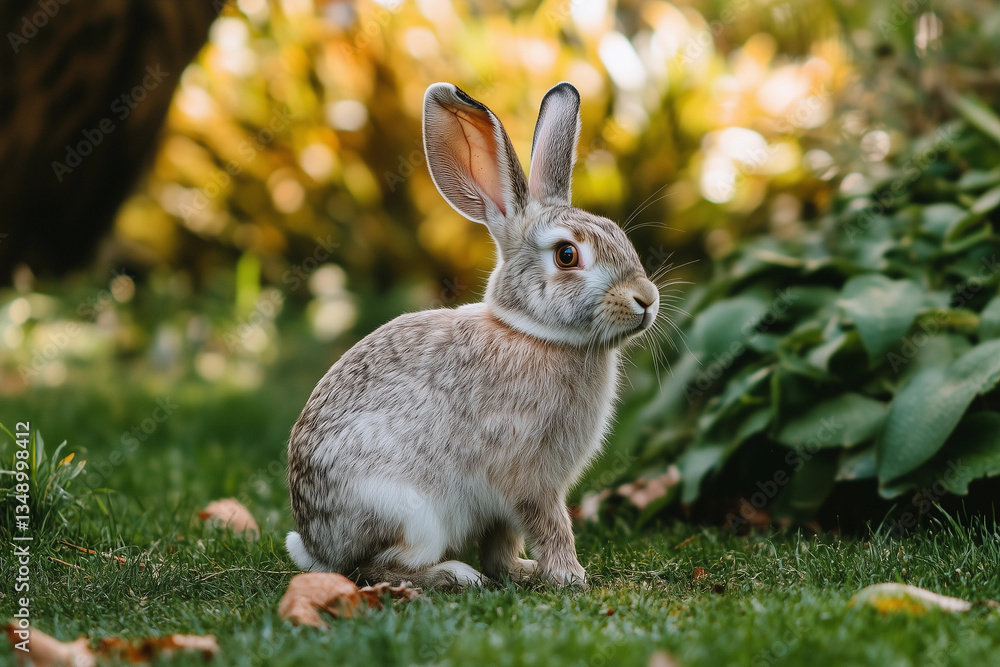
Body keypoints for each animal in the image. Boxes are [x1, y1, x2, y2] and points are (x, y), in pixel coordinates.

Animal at [286, 81, 660, 589]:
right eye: (567, 255)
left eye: (619, 235)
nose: (646, 299)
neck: (536, 334)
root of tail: (315, 545)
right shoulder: (528, 477)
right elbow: (549, 523)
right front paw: (570, 577)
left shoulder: (506, 503)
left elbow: (504, 540)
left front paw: (522, 570)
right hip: (411, 514)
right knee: (371, 568)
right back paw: (455, 575)